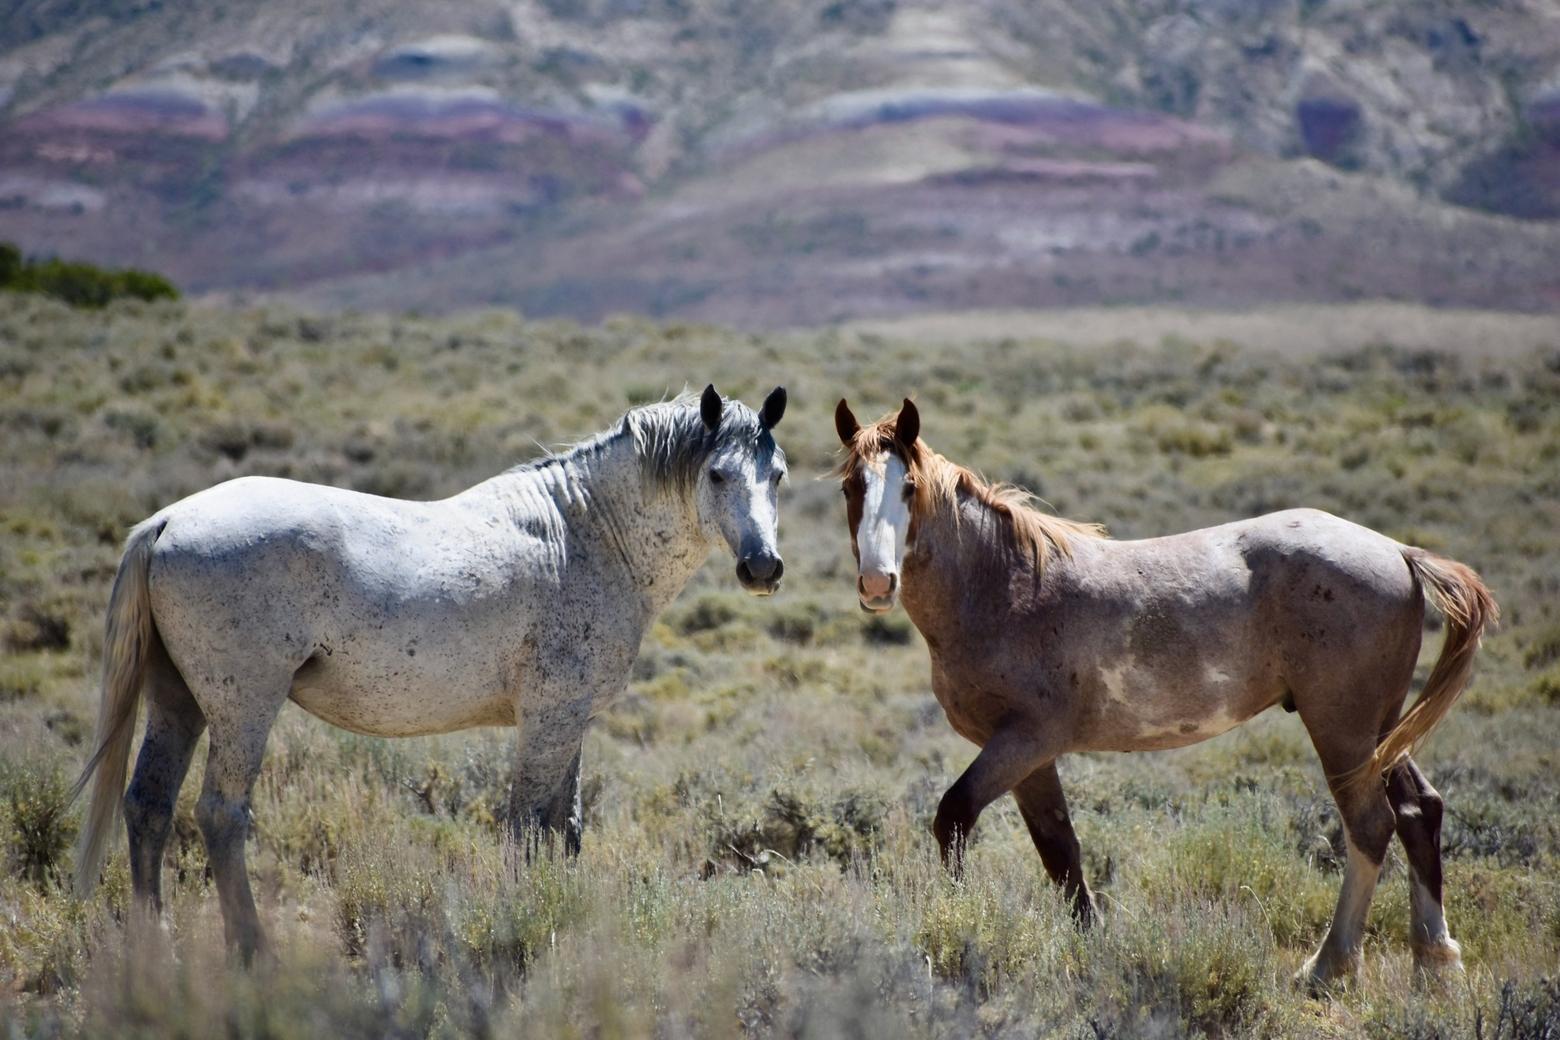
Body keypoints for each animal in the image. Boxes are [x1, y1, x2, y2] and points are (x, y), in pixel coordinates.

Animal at [74, 385, 786, 960]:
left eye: (777, 473)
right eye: (717, 474)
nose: (763, 567)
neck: (582, 537)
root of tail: (169, 520)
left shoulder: (571, 721)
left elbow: (566, 831)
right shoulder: (549, 720)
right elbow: (526, 831)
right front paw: (525, 925)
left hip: (179, 702)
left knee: (149, 806)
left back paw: (156, 947)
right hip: (242, 708)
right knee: (221, 815)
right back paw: (253, 952)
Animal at [842, 394, 1497, 991]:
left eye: (908, 488)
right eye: (852, 487)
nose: (877, 583)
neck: (1005, 584)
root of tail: (1399, 553)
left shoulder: (1024, 740)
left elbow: (956, 816)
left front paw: (956, 922)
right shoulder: (1030, 756)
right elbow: (1060, 849)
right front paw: (1092, 947)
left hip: (1341, 728)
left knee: (1370, 826)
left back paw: (1328, 966)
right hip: (1380, 728)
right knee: (1419, 810)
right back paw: (1435, 963)